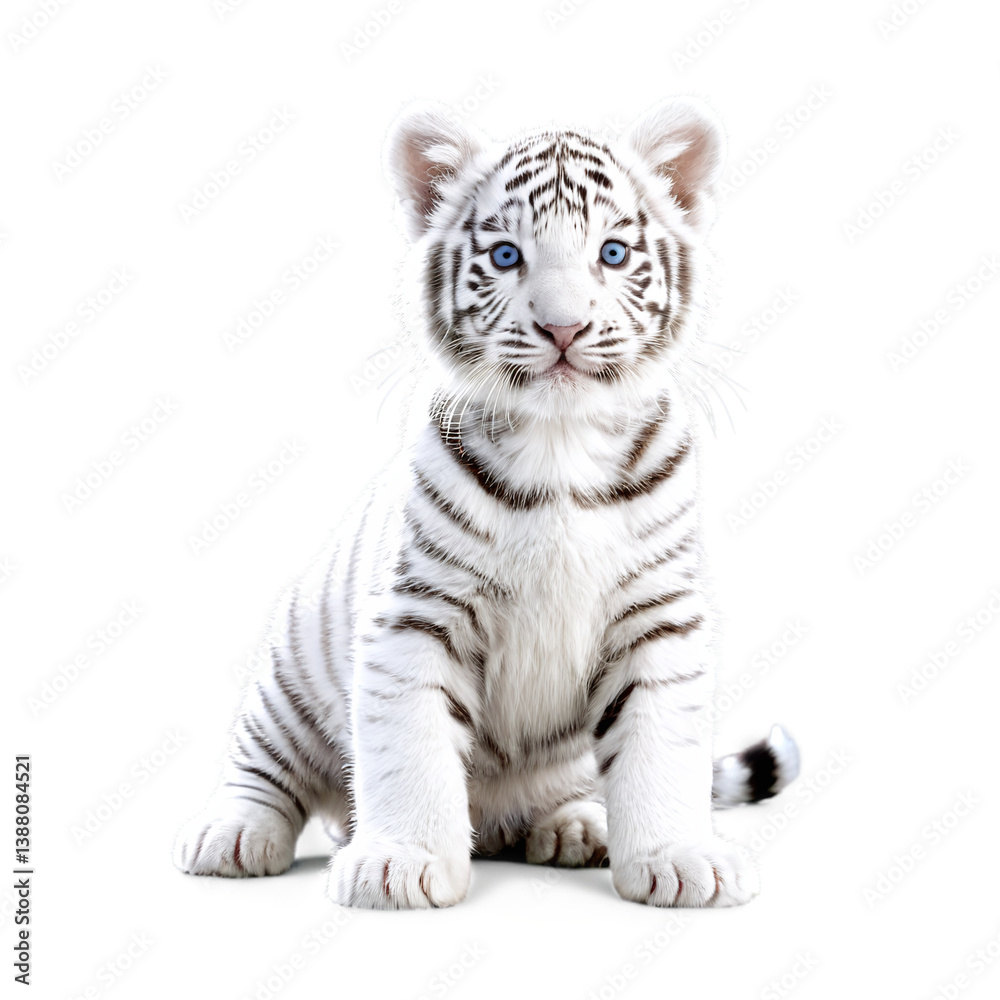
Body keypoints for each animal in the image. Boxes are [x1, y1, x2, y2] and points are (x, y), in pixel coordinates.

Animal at [173, 97, 800, 909]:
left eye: (612, 254)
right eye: (506, 257)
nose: (563, 327)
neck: (562, 445)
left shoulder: (658, 618)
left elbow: (662, 750)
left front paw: (680, 857)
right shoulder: (415, 615)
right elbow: (409, 749)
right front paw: (398, 864)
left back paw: (576, 826)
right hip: (288, 677)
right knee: (263, 769)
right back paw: (234, 835)